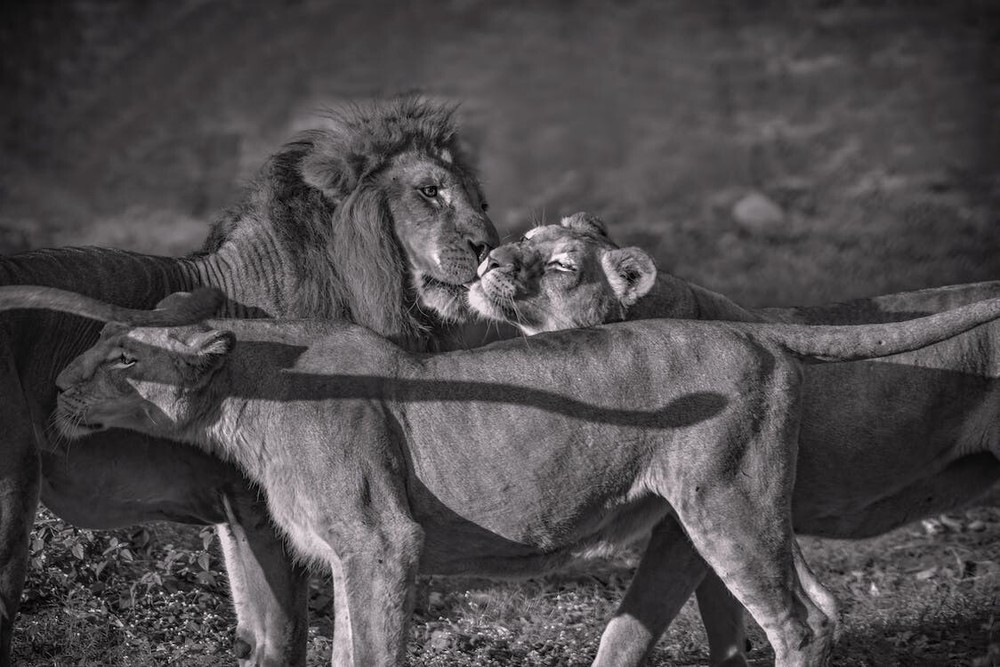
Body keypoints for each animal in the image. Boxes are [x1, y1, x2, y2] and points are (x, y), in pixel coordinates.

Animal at [0, 98, 497, 667]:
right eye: (429, 190)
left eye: (480, 200)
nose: (490, 248)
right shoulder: (258, 508)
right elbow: (284, 637)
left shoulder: (234, 513)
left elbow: (255, 634)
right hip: (15, 486)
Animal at [49, 290, 1000, 666]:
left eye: (123, 356)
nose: (56, 385)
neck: (252, 385)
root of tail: (754, 328)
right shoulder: (350, 556)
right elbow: (348, 647)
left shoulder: (382, 541)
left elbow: (374, 651)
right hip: (706, 515)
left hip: (730, 503)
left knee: (799, 623)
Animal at [469, 212, 1000, 666]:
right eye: (527, 238)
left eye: (562, 266)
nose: (489, 258)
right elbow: (723, 620)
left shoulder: (684, 526)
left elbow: (630, 627)